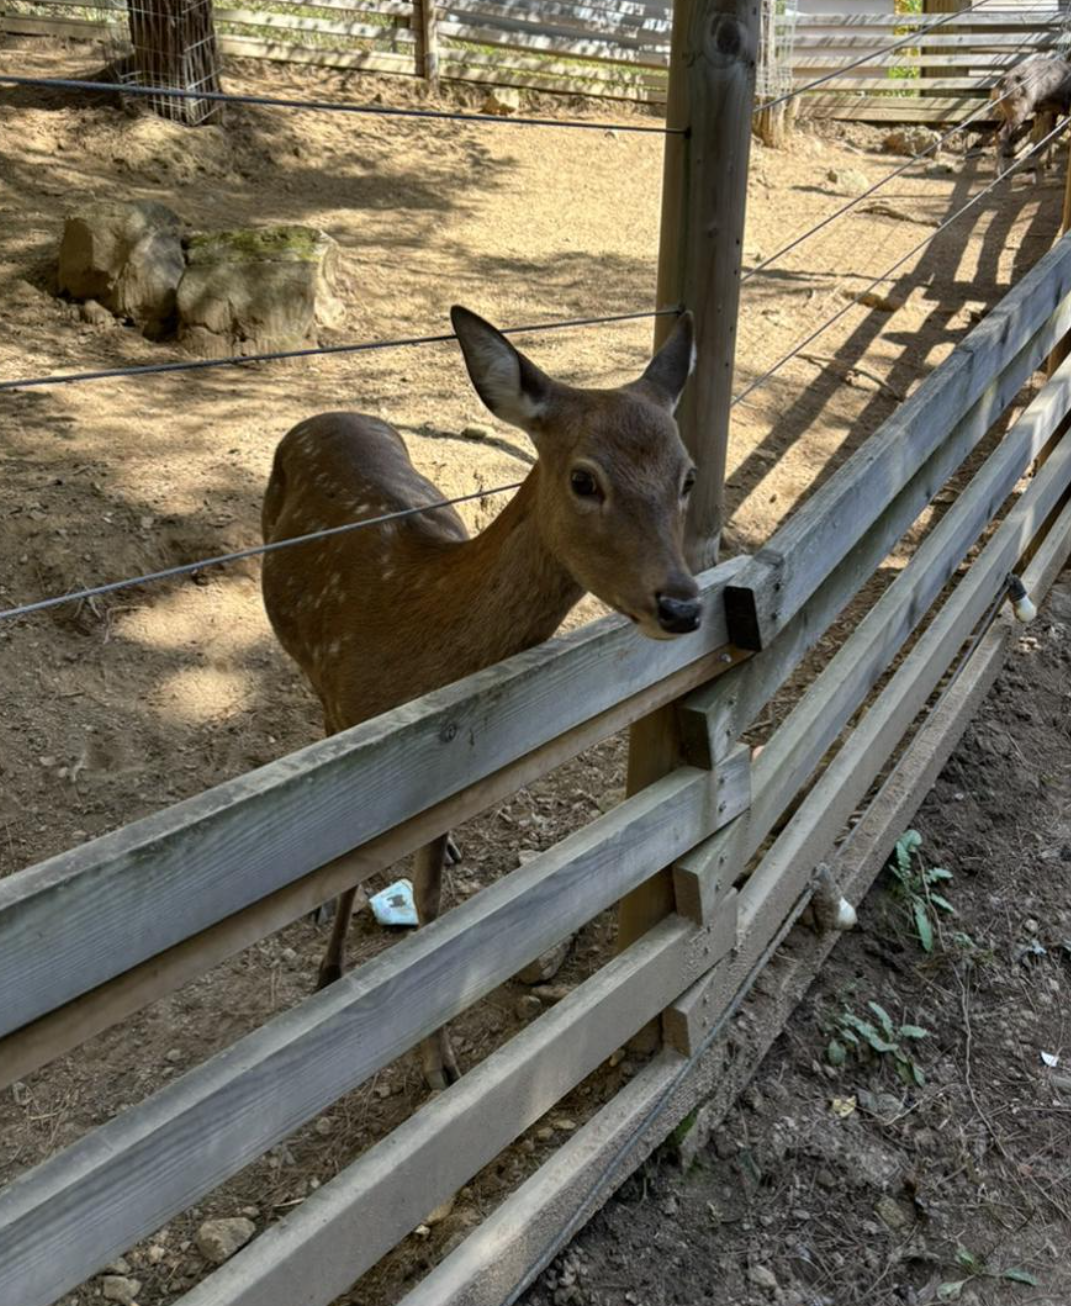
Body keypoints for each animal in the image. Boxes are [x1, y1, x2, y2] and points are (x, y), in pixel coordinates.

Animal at [261, 306, 701, 1089]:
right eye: (584, 478)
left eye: (686, 476)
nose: (680, 604)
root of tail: (326, 414)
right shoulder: (350, 720)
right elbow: (356, 876)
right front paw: (330, 975)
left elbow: (433, 908)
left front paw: (441, 1064)